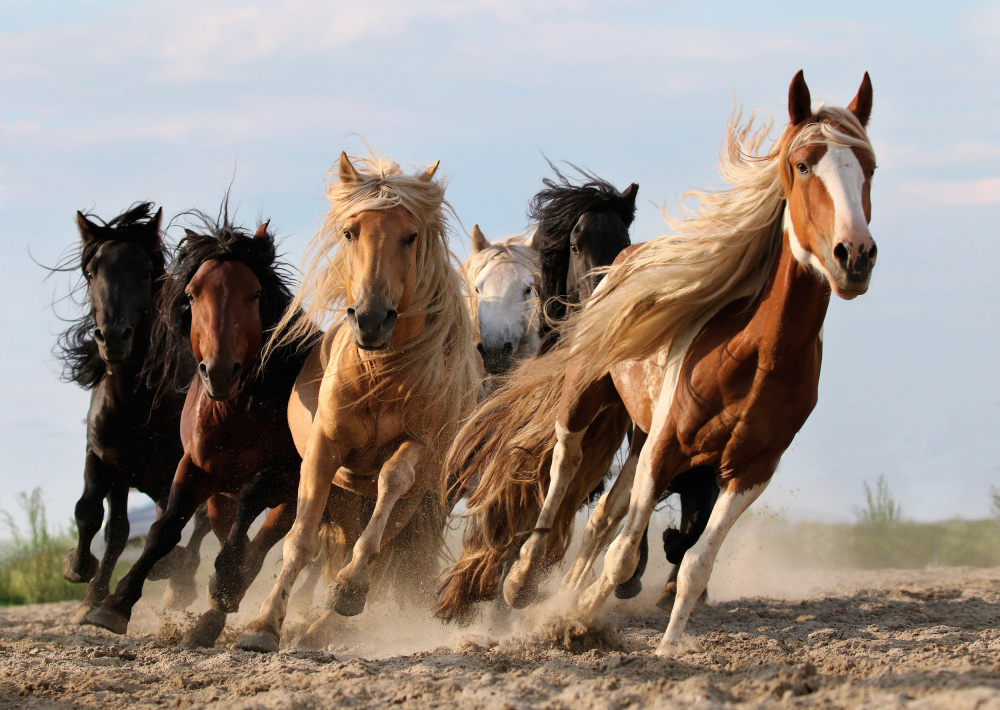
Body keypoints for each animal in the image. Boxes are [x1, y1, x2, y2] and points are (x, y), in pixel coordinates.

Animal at [54, 203, 211, 624]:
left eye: (144, 272)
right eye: (92, 272)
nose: (113, 337)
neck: (135, 404)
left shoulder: (180, 467)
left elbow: (173, 524)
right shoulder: (106, 459)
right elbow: (98, 518)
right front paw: (82, 578)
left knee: (199, 524)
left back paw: (179, 582)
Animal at [82, 209, 319, 646]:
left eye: (255, 294)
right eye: (192, 295)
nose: (220, 372)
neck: (238, 412)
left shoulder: (288, 473)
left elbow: (251, 503)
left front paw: (224, 582)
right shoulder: (194, 467)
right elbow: (165, 528)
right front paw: (114, 604)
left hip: (293, 497)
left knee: (260, 544)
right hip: (220, 495)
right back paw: (209, 618)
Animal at [234, 151, 481, 652]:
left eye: (410, 236)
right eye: (351, 232)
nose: (370, 320)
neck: (380, 376)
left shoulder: (418, 447)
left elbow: (390, 483)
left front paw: (349, 589)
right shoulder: (324, 450)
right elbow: (300, 540)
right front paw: (263, 625)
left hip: (412, 504)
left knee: (381, 550)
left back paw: (328, 620)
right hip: (347, 498)